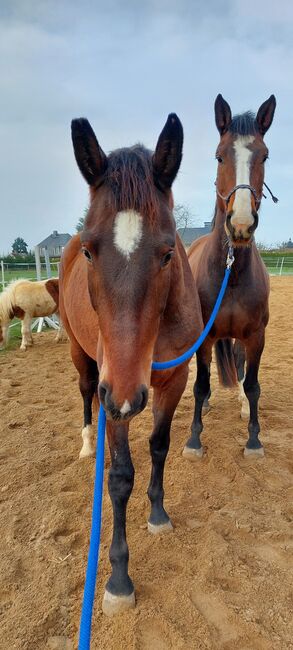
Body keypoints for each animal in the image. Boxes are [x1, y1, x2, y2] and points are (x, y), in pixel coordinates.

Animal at [58, 112, 202, 612]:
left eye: (167, 252)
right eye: (89, 251)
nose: (123, 394)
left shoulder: (174, 380)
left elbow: (159, 446)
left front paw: (157, 513)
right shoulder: (112, 393)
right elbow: (120, 478)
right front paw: (119, 579)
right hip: (83, 360)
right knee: (85, 393)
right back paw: (87, 444)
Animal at [182, 93, 276, 458]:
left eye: (264, 155)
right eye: (219, 155)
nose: (241, 224)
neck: (230, 272)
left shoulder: (256, 336)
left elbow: (253, 385)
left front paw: (254, 439)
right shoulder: (205, 336)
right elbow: (199, 384)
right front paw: (194, 440)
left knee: (238, 362)